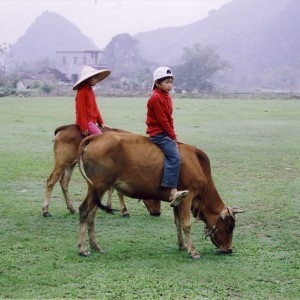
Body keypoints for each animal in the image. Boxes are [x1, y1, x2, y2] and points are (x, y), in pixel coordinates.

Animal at [77, 131, 244, 258]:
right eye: (230, 227)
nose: (229, 249)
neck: (199, 166)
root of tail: (96, 137)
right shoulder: (188, 196)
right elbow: (187, 224)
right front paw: (193, 251)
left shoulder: (178, 201)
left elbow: (177, 222)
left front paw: (182, 245)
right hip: (97, 187)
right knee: (84, 210)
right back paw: (83, 249)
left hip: (99, 190)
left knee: (91, 216)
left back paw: (95, 246)